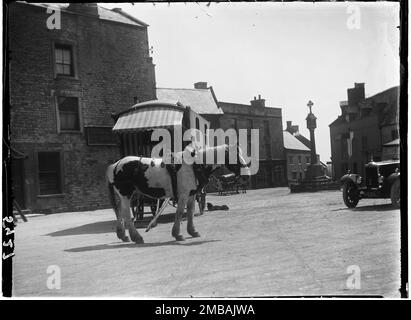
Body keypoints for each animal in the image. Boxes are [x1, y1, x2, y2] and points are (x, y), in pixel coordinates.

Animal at [105, 144, 251, 242]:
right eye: (234, 156)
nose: (247, 176)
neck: (194, 166)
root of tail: (115, 165)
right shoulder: (183, 194)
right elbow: (180, 212)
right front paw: (177, 234)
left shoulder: (191, 194)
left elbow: (190, 211)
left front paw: (192, 231)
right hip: (126, 194)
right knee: (126, 214)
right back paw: (136, 237)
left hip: (123, 195)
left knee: (119, 212)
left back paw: (123, 235)